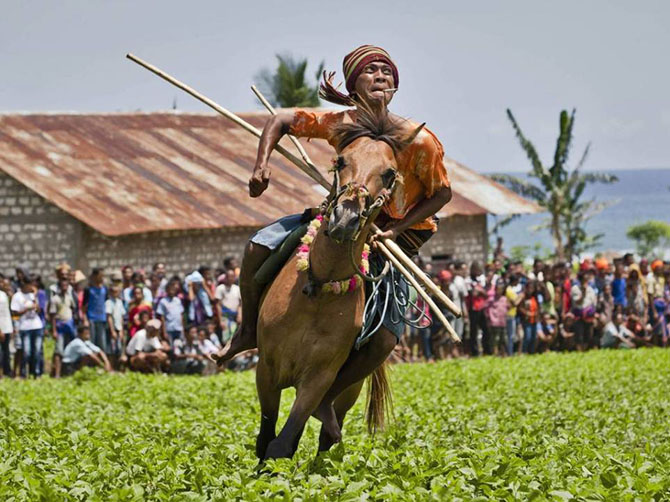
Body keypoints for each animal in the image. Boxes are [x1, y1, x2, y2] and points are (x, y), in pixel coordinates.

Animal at [255, 110, 422, 458]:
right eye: (341, 160)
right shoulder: (266, 369)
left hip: (349, 389)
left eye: (389, 174)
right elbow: (266, 439)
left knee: (327, 431)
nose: (345, 218)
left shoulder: (317, 379)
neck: (318, 290)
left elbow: (283, 442)